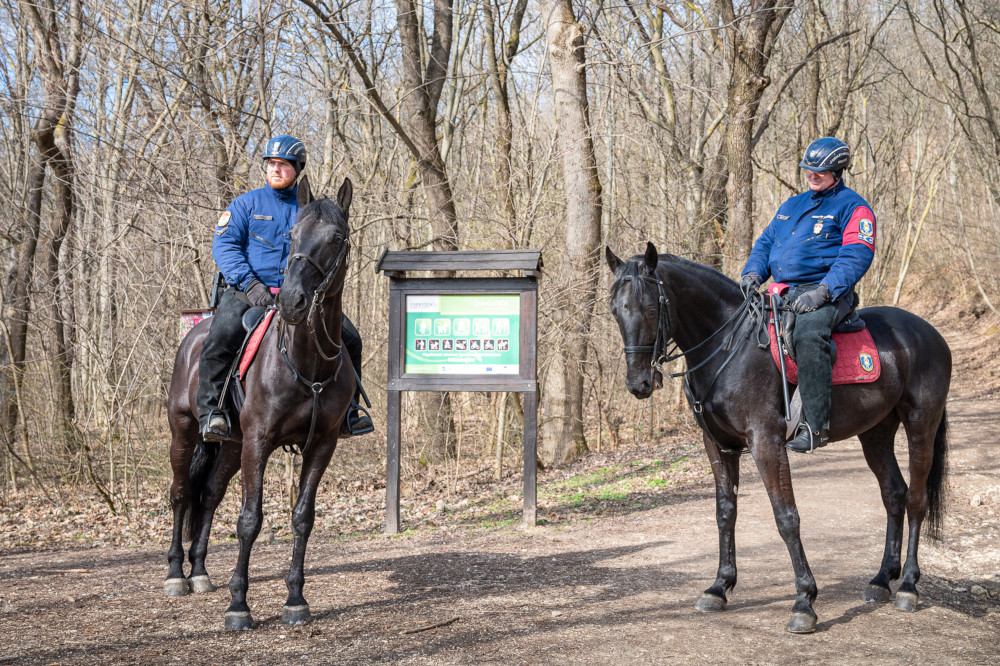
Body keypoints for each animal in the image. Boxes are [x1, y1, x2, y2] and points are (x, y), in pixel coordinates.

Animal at [162, 175, 354, 628]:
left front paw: (296, 599)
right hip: (185, 432)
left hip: (231, 445)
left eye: (336, 238)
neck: (306, 363)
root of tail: (195, 333)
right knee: (181, 494)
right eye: (292, 235)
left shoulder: (322, 445)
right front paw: (238, 606)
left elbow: (302, 518)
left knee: (209, 495)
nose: (291, 301)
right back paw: (177, 574)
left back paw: (199, 572)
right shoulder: (258, 442)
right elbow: (249, 520)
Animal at [604, 243, 948, 632]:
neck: (728, 347)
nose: (638, 384)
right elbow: (725, 513)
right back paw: (881, 581)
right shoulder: (719, 446)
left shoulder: (765, 442)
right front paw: (719, 586)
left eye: (650, 308)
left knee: (916, 499)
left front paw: (804, 601)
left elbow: (786, 517)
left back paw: (907, 586)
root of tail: (928, 333)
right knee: (894, 494)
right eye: (615, 311)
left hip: (921, 426)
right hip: (875, 433)